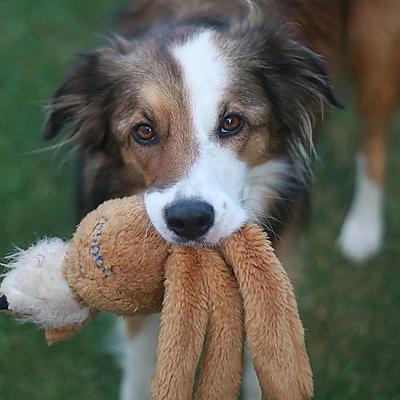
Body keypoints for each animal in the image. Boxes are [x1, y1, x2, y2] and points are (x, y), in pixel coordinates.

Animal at [43, 1, 400, 398]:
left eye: (231, 122)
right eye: (144, 131)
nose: (189, 220)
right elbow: (139, 363)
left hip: (375, 42)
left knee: (373, 137)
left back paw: (363, 229)